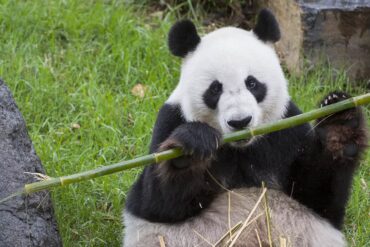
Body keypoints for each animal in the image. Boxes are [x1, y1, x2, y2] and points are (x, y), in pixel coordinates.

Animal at [122, 8, 368, 246]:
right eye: (215, 89)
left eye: (252, 83)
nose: (240, 121)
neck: (240, 148)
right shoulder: (171, 119)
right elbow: (156, 203)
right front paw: (190, 150)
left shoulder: (287, 128)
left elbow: (317, 193)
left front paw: (339, 123)